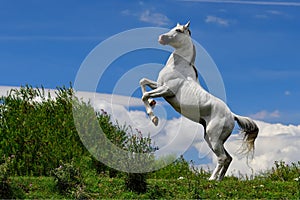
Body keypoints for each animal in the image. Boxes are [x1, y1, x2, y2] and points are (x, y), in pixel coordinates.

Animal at [139, 21, 258, 181]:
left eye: (178, 30)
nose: (161, 38)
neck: (178, 68)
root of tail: (232, 116)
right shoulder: (159, 86)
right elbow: (143, 82)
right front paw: (152, 103)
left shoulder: (166, 90)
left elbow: (144, 95)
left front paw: (154, 119)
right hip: (212, 139)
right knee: (228, 158)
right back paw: (219, 180)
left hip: (214, 138)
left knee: (222, 158)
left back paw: (211, 179)